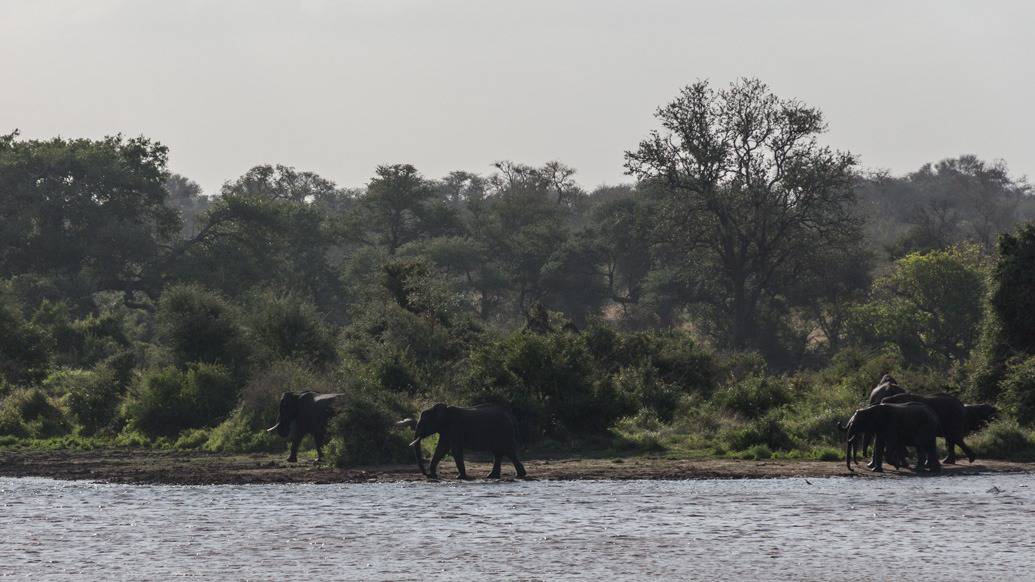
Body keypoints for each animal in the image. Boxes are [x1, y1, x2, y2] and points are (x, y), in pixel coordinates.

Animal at [393, 401, 529, 478]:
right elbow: (441, 449)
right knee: (499, 453)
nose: (426, 474)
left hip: (504, 431)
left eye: (424, 424)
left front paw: (460, 477)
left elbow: (454, 449)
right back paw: (492, 476)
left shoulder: (454, 428)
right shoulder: (446, 430)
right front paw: (433, 476)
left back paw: (520, 475)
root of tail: (510, 415)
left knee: (508, 452)